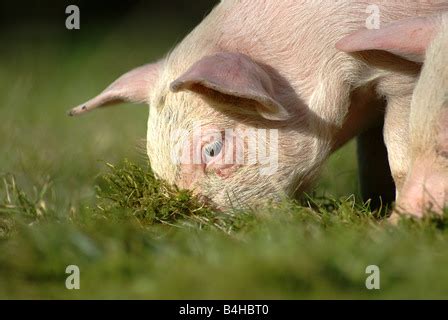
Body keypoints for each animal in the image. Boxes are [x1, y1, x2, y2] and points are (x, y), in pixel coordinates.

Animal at [68, 1, 448, 211]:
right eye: (154, 162)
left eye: (213, 149)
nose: (191, 215)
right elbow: (371, 162)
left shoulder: (400, 78)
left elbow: (398, 157)